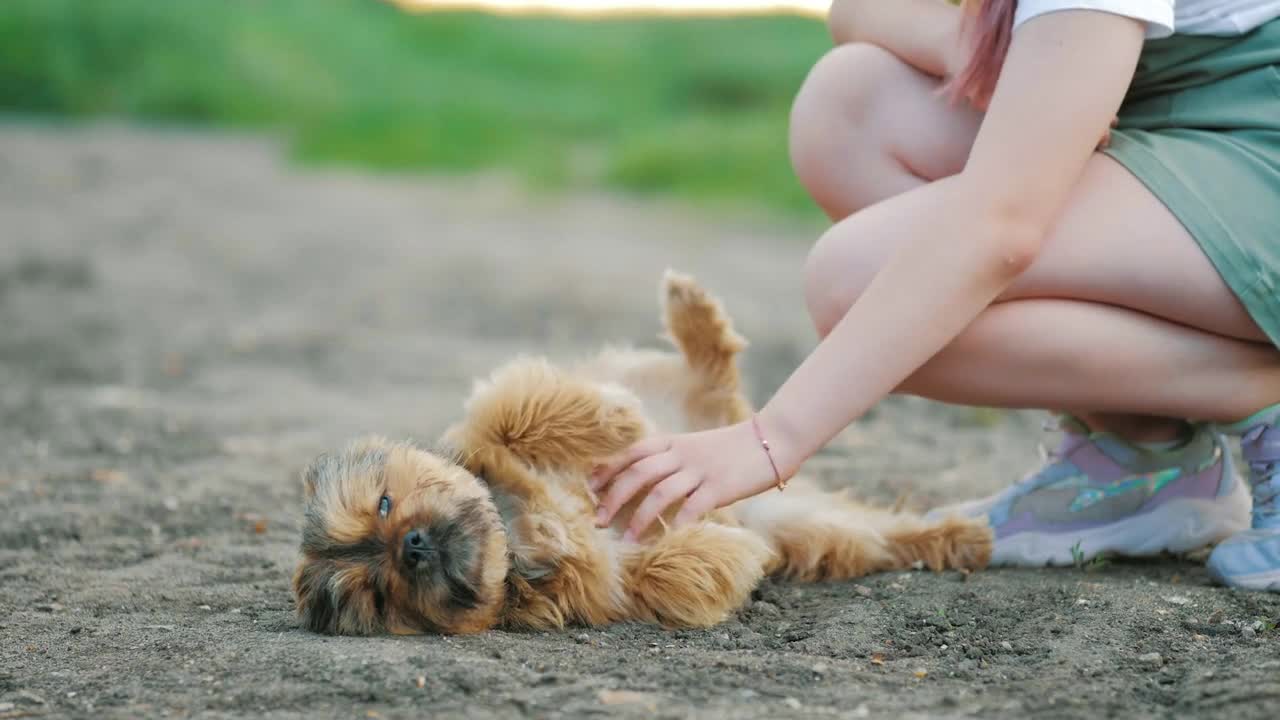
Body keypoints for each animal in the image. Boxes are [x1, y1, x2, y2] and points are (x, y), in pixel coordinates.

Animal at [293, 270, 988, 632]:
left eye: (384, 505)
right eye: (380, 594)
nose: (410, 547)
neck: (519, 530)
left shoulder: (494, 425)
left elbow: (513, 410)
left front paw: (617, 421)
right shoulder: (607, 587)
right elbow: (671, 577)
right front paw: (719, 549)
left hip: (682, 395)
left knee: (716, 374)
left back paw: (690, 312)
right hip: (814, 530)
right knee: (877, 535)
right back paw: (960, 536)